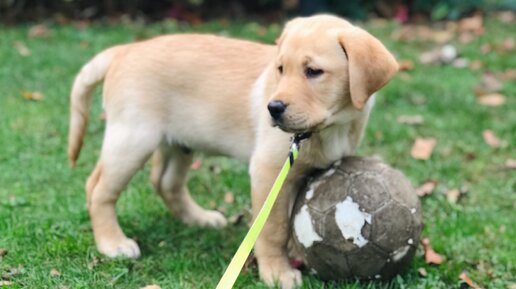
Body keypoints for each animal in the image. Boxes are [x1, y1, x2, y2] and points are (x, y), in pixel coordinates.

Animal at [68, 14, 398, 288]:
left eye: (314, 71)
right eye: (280, 69)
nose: (273, 108)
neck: (331, 127)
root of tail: (124, 50)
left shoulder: (306, 174)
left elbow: (292, 218)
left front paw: (294, 253)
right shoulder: (268, 171)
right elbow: (273, 228)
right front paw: (276, 272)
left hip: (180, 142)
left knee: (165, 182)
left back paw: (199, 219)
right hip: (133, 138)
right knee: (97, 188)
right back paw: (113, 243)